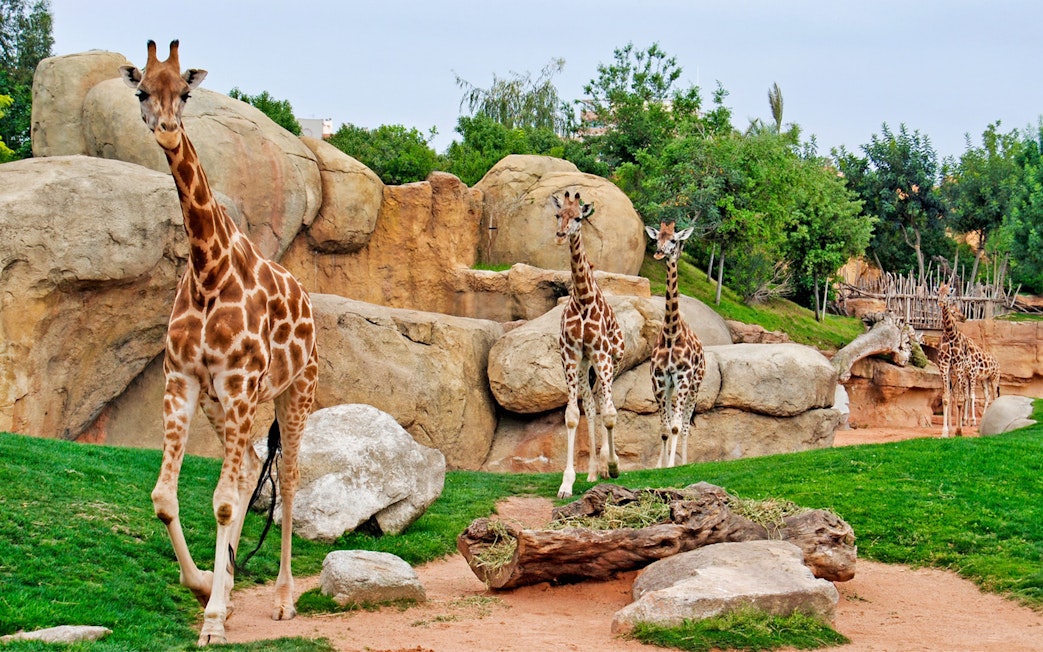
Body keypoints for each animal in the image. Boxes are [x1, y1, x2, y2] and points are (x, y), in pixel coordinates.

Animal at [120, 41, 318, 646]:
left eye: (185, 91)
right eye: (142, 91)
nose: (166, 130)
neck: (209, 269)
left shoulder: (238, 383)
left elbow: (227, 504)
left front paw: (211, 620)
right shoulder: (183, 380)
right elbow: (166, 498)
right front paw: (209, 588)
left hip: (294, 391)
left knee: (289, 481)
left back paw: (282, 600)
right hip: (225, 404)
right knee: (254, 467)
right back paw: (230, 594)